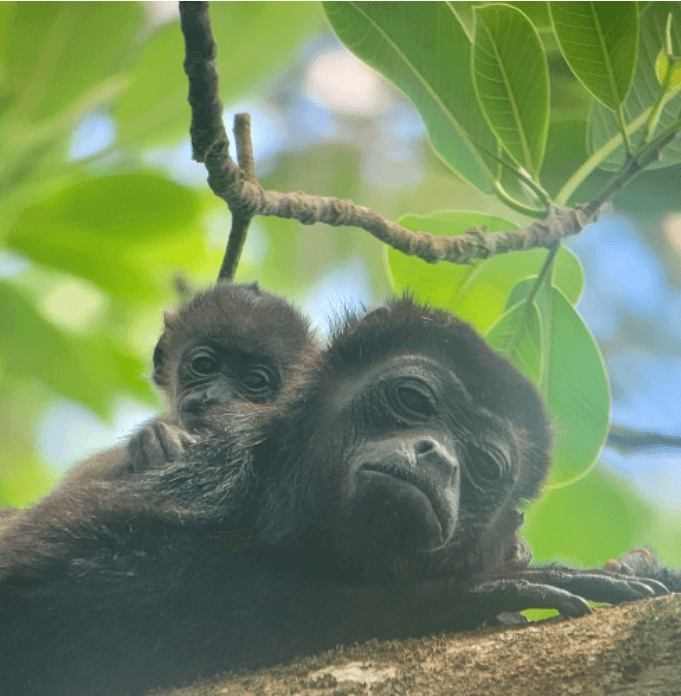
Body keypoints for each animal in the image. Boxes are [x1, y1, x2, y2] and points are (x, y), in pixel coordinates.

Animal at [0, 298, 668, 696]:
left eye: (483, 465)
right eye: (412, 400)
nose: (440, 455)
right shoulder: (221, 465)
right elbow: (33, 597)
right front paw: (461, 594)